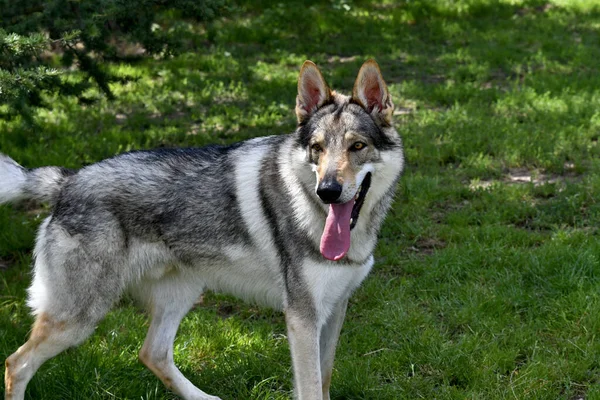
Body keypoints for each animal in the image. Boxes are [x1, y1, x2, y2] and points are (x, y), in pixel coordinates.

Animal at [1, 59, 404, 400]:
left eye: (357, 146)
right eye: (317, 149)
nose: (328, 191)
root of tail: (67, 181)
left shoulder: (334, 310)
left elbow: (325, 379)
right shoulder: (302, 318)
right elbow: (310, 389)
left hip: (182, 293)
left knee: (151, 353)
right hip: (80, 317)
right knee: (16, 363)